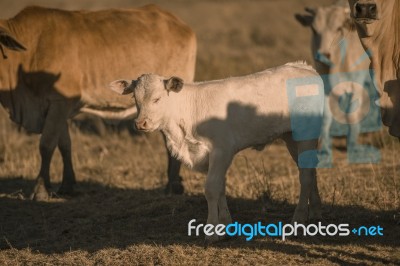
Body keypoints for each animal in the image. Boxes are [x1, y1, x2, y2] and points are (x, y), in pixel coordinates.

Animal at [0, 4, 197, 200]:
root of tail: (181, 25)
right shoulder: (59, 108)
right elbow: (64, 145)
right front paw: (67, 185)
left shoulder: (58, 103)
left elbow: (46, 145)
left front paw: (40, 189)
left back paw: (173, 186)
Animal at [111, 61, 324, 241]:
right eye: (135, 98)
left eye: (157, 98)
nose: (141, 124)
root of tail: (305, 68)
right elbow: (221, 187)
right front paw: (226, 225)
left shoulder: (221, 151)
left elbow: (212, 188)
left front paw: (212, 231)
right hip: (291, 137)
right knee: (309, 170)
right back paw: (315, 212)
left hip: (306, 135)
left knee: (305, 177)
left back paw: (297, 221)